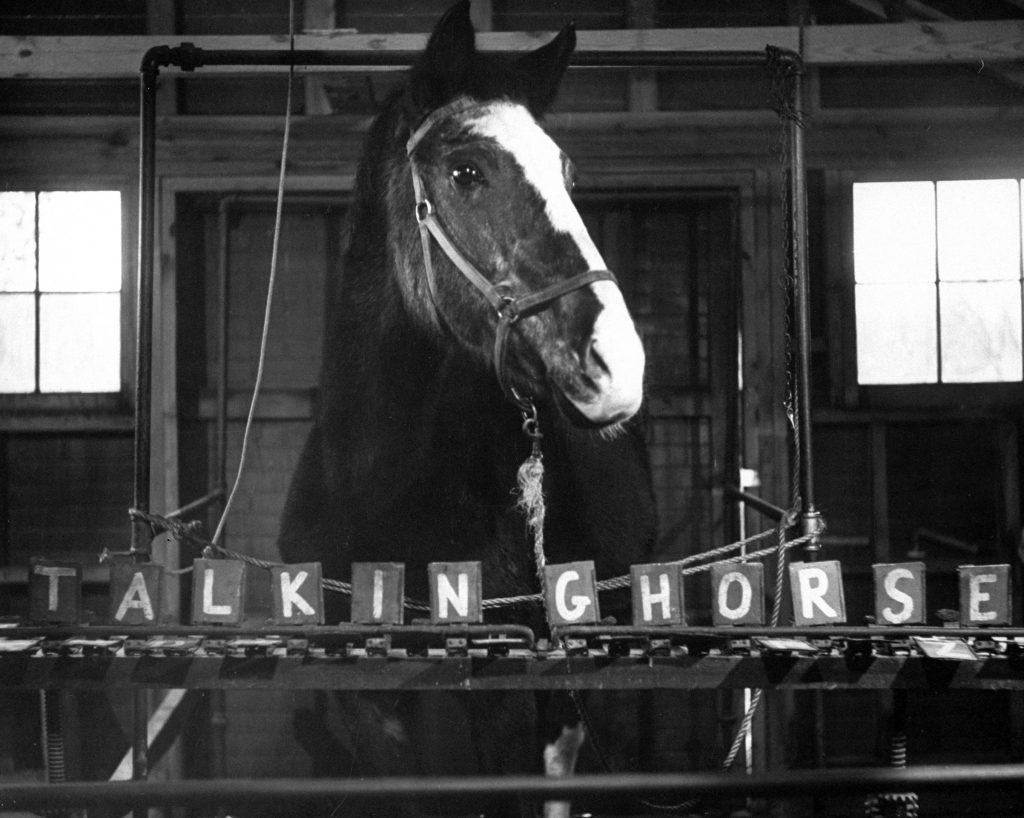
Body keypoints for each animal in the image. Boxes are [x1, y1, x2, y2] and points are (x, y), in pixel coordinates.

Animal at [278, 3, 655, 814]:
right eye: (467, 172)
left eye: (566, 173)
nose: (617, 362)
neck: (384, 487)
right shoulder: (365, 700)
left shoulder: (508, 696)